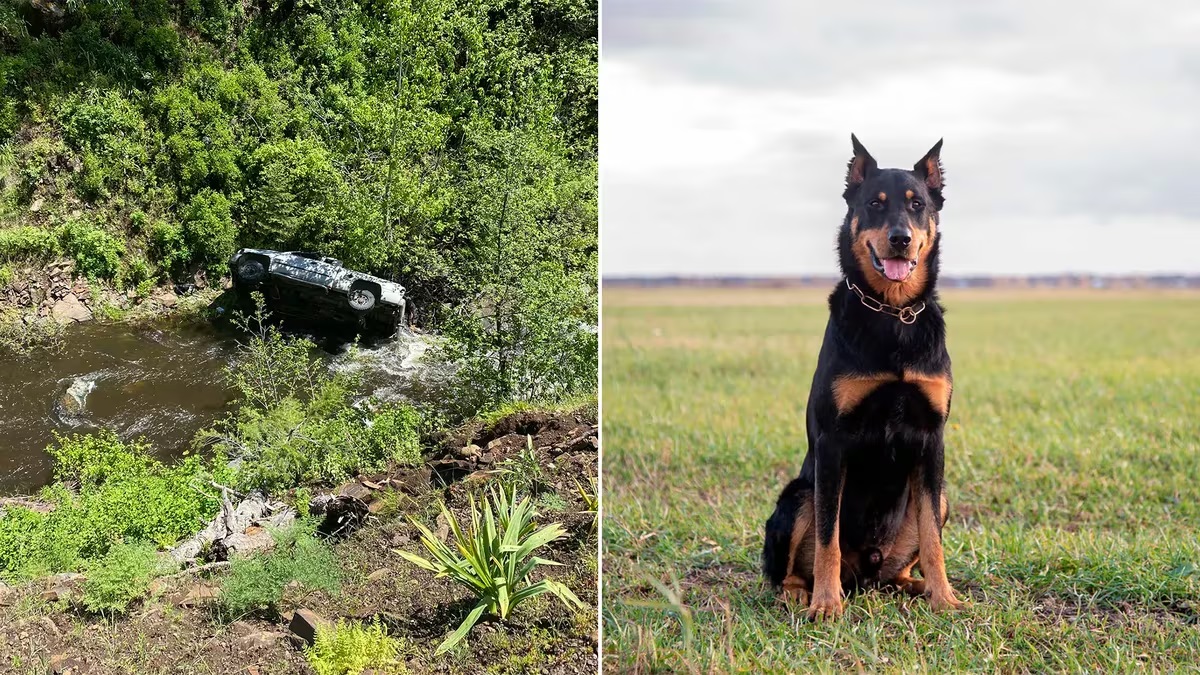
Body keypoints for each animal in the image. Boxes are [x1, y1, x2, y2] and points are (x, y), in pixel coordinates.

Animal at [768, 133, 964, 619]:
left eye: (917, 205)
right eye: (875, 204)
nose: (900, 239)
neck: (893, 315)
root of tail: (867, 573)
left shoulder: (932, 439)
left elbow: (933, 539)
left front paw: (944, 596)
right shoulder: (832, 444)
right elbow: (827, 539)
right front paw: (825, 604)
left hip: (939, 499)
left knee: (901, 565)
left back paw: (917, 586)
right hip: (798, 495)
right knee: (786, 570)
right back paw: (802, 592)